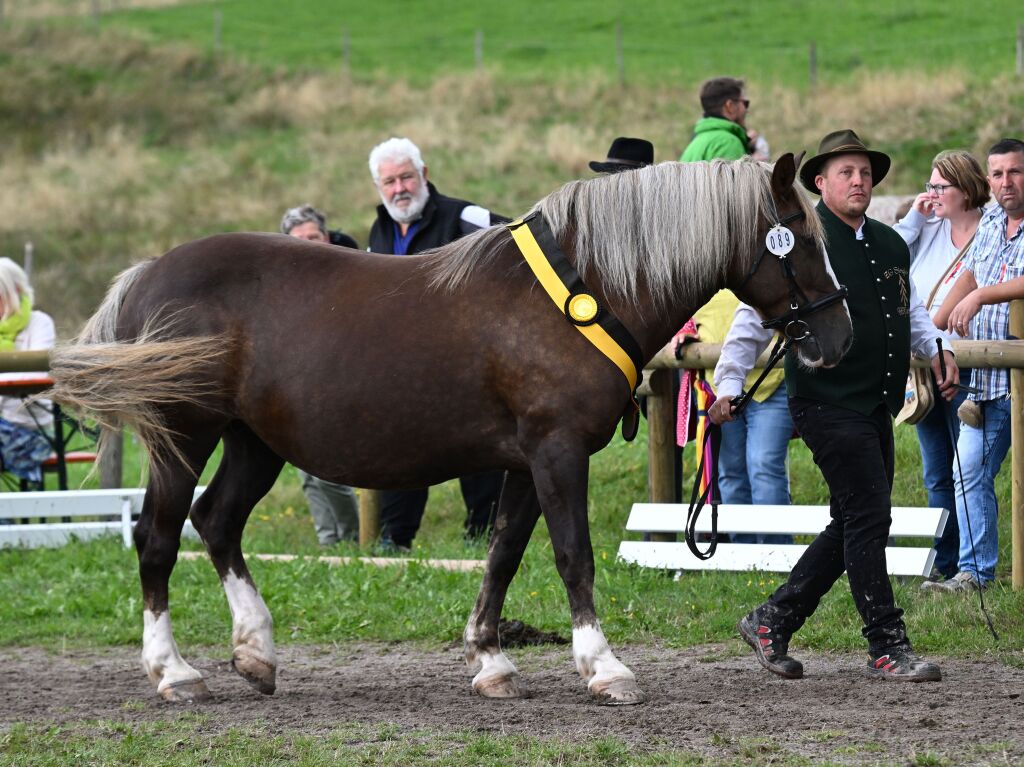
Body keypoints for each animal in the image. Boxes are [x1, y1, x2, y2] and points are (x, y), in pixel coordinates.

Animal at [46, 153, 847, 704]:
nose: (836, 340)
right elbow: (573, 555)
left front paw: (490, 660)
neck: (582, 289)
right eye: (801, 238)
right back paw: (174, 671)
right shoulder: (556, 451)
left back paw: (256, 651)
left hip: (254, 442)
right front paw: (604, 665)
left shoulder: (524, 461)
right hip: (184, 436)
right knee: (157, 536)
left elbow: (504, 553)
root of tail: (149, 272)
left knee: (216, 521)